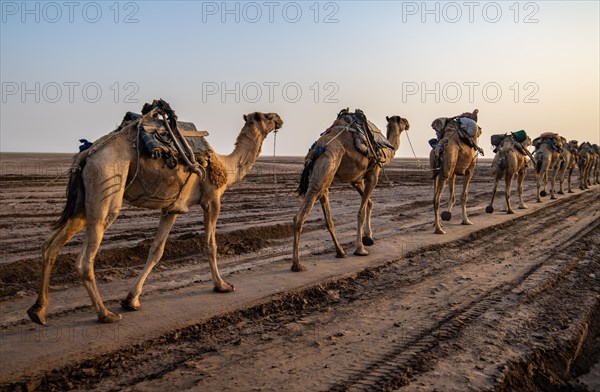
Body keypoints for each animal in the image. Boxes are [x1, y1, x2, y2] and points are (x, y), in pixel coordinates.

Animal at [25, 104, 284, 324]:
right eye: (266, 116)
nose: (280, 118)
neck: (226, 166)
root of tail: (86, 155)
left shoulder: (172, 209)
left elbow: (156, 250)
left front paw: (131, 300)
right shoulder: (212, 200)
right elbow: (211, 245)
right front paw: (222, 285)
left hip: (82, 204)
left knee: (51, 245)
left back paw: (38, 311)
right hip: (105, 191)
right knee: (85, 260)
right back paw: (105, 314)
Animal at [290, 108, 408, 272]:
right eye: (402, 120)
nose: (408, 123)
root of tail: (316, 151)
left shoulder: (356, 180)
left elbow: (369, 203)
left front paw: (369, 237)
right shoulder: (373, 173)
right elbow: (361, 211)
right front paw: (361, 248)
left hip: (324, 176)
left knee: (328, 218)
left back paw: (340, 251)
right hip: (325, 168)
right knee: (300, 216)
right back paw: (297, 264)